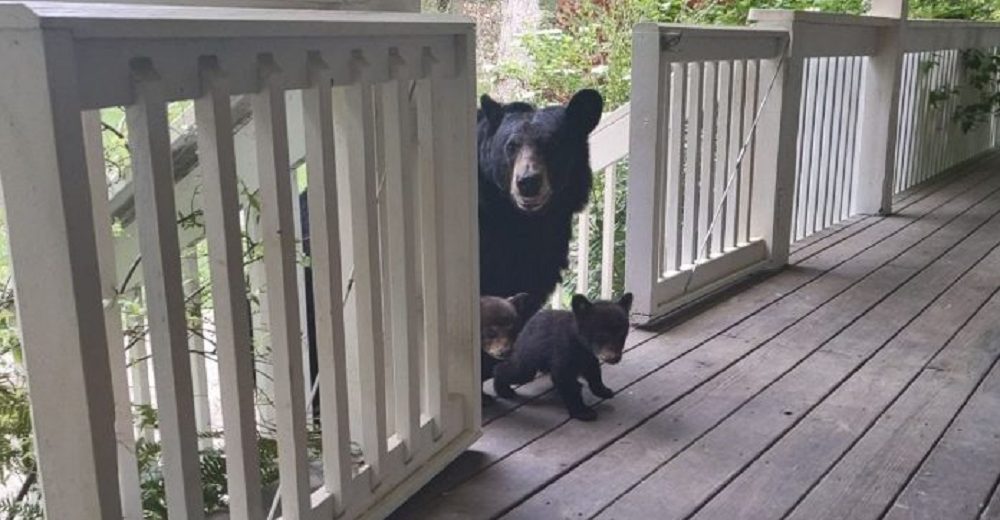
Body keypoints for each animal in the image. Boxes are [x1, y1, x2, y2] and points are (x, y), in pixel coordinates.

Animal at [494, 294, 632, 420]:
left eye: (622, 334)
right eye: (602, 335)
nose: (614, 358)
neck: (580, 344)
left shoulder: (589, 357)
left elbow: (594, 373)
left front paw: (603, 391)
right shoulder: (562, 353)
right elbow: (567, 382)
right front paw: (582, 411)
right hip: (528, 356)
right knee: (515, 371)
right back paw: (502, 389)